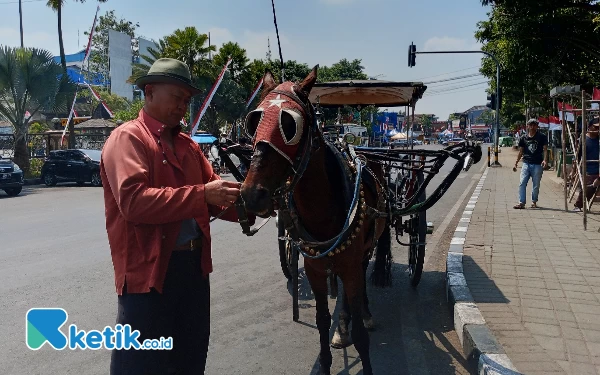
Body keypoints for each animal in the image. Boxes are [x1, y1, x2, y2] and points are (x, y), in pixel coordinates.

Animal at [241, 66, 392, 374]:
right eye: (254, 121)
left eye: (289, 125)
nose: (252, 195)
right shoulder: (314, 268)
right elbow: (322, 320)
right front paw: (326, 357)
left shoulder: (349, 265)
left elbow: (360, 333)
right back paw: (342, 326)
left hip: (365, 248)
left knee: (363, 273)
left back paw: (364, 313)